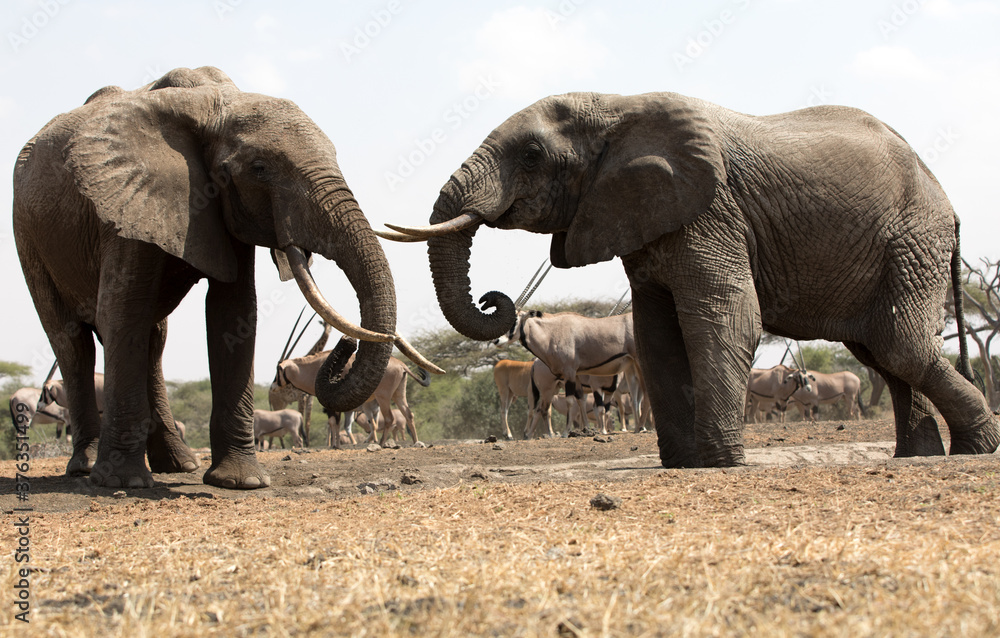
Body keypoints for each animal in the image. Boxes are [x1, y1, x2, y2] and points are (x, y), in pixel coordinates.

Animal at [13, 66, 436, 489]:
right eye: (260, 169)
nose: (347, 344)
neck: (212, 105)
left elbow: (234, 312)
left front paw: (241, 481)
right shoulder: (126, 200)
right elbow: (122, 312)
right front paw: (123, 483)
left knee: (154, 340)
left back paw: (178, 464)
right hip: (28, 235)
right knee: (73, 341)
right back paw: (87, 467)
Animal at [380, 91, 1000, 468]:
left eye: (532, 155)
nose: (496, 301)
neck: (616, 107)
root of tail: (945, 199)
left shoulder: (710, 211)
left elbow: (724, 316)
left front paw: (722, 463)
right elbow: (656, 332)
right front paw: (684, 463)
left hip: (910, 240)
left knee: (898, 345)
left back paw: (976, 449)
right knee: (882, 352)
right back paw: (920, 456)